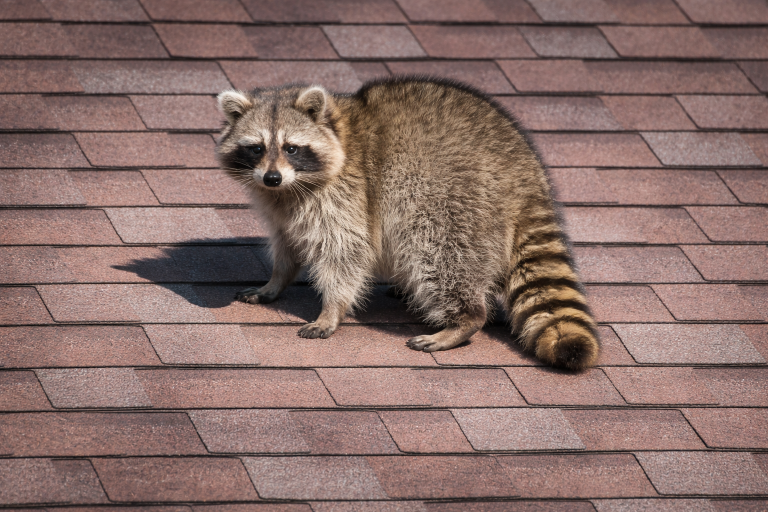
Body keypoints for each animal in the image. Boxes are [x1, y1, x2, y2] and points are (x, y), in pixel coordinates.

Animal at [216, 78, 599, 370]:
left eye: (292, 148)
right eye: (256, 148)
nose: (272, 177)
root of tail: (527, 170)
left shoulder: (348, 192)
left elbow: (346, 251)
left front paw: (331, 309)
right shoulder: (281, 208)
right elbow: (287, 244)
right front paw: (276, 281)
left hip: (455, 200)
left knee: (439, 253)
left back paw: (465, 319)